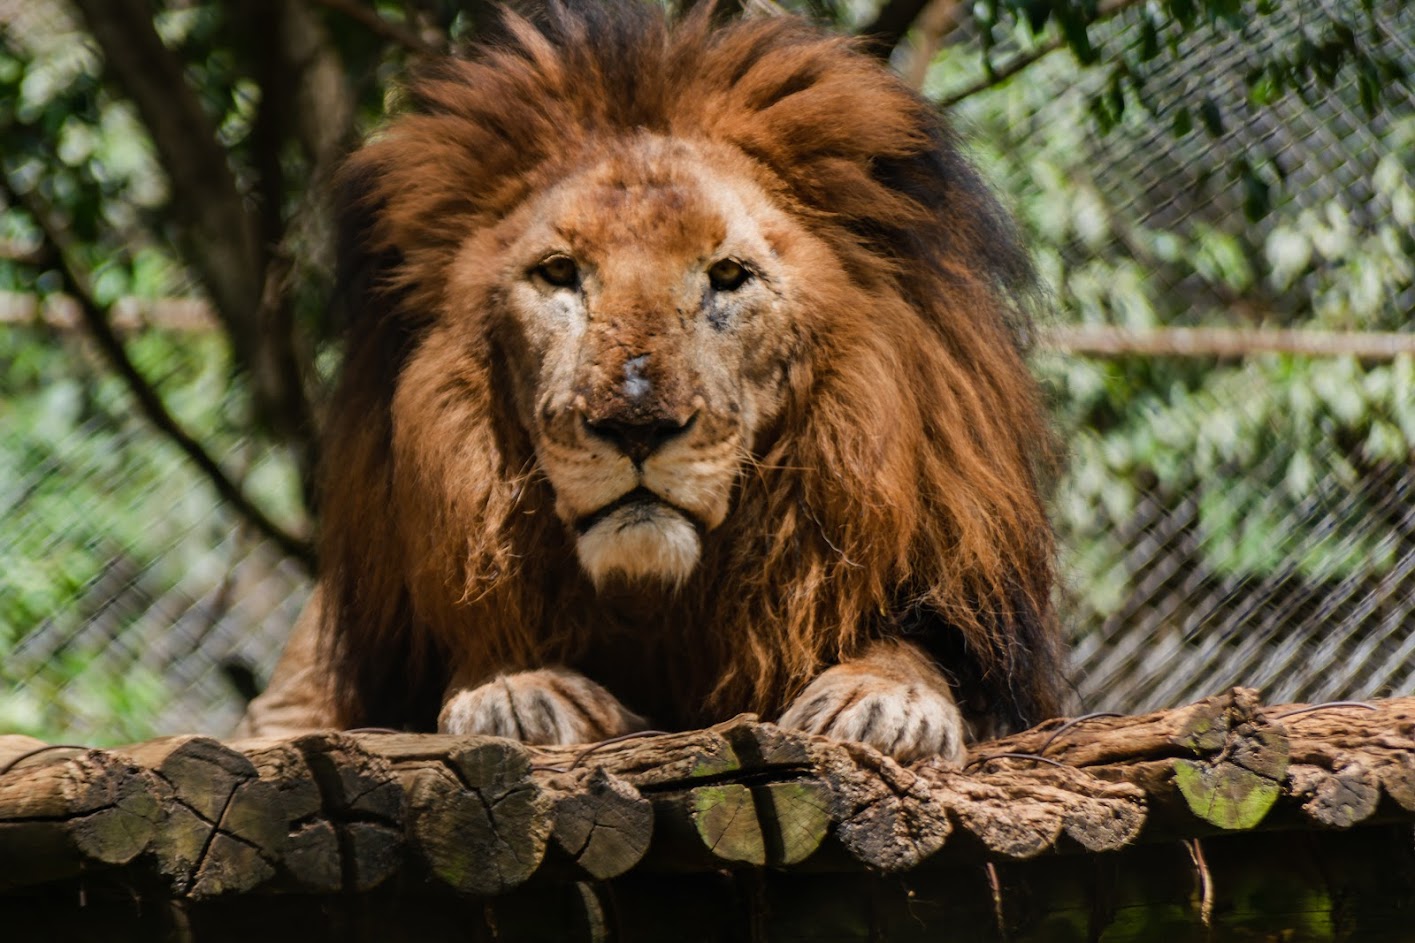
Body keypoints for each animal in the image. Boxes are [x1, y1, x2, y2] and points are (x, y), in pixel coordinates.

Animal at [236, 0, 1065, 765]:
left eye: (727, 275)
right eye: (559, 273)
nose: (635, 425)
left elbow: (910, 650)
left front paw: (882, 701)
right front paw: (519, 693)